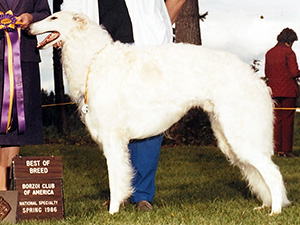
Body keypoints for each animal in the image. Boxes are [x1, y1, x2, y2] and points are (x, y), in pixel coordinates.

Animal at [29, 11, 290, 214]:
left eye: (53, 17)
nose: (28, 27)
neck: (94, 59)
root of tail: (257, 82)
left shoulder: (113, 138)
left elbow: (115, 180)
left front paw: (112, 211)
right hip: (229, 137)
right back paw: (265, 206)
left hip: (241, 136)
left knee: (273, 173)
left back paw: (275, 211)